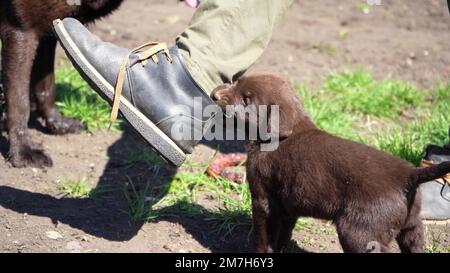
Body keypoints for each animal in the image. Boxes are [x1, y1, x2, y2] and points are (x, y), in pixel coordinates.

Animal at [0, 0, 123, 167]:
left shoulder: (48, 31)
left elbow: (47, 88)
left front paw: (57, 124)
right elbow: (19, 101)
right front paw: (22, 151)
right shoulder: (19, 28)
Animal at [211, 73, 450, 253]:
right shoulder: (287, 206)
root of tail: (408, 174)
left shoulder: (263, 200)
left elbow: (263, 238)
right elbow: (282, 235)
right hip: (412, 225)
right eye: (236, 82)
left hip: (360, 232)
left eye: (246, 100)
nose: (214, 95)